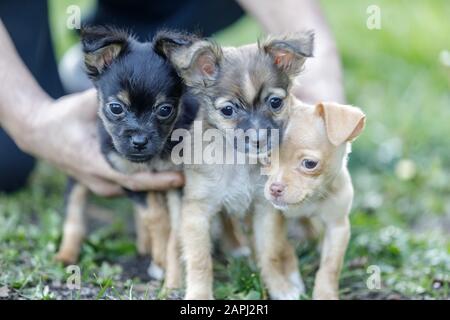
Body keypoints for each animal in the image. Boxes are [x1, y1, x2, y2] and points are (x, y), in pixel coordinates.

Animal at [55, 25, 193, 284]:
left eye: (165, 110)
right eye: (116, 108)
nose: (139, 141)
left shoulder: (178, 182)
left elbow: (176, 229)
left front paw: (171, 274)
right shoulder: (129, 176)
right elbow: (156, 216)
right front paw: (160, 256)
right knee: (74, 212)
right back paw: (66, 255)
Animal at [260, 99, 366, 298]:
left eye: (309, 164)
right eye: (266, 159)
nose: (275, 188)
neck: (310, 200)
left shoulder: (337, 226)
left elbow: (330, 266)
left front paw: (325, 294)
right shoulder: (273, 218)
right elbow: (282, 247)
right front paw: (290, 279)